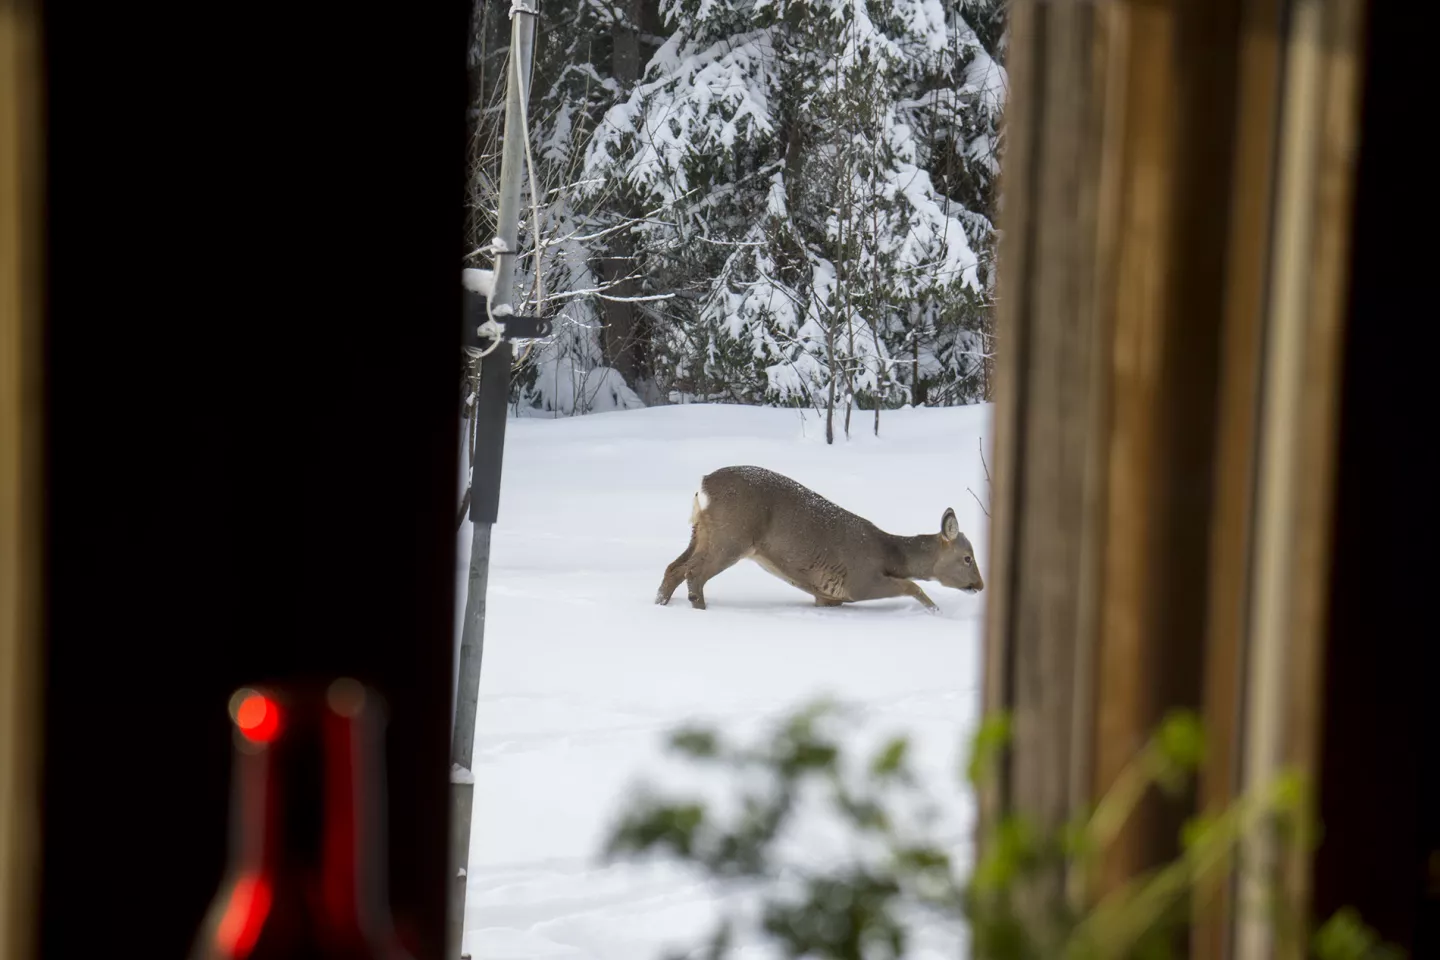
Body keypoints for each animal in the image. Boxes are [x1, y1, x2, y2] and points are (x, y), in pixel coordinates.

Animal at [659, 466, 984, 616]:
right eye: (968, 557)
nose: (980, 585)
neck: (889, 553)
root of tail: (704, 485)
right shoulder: (859, 581)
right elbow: (912, 585)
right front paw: (937, 612)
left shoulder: (827, 597)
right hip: (733, 534)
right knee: (694, 572)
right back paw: (701, 609)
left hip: (702, 531)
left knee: (674, 567)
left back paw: (661, 603)